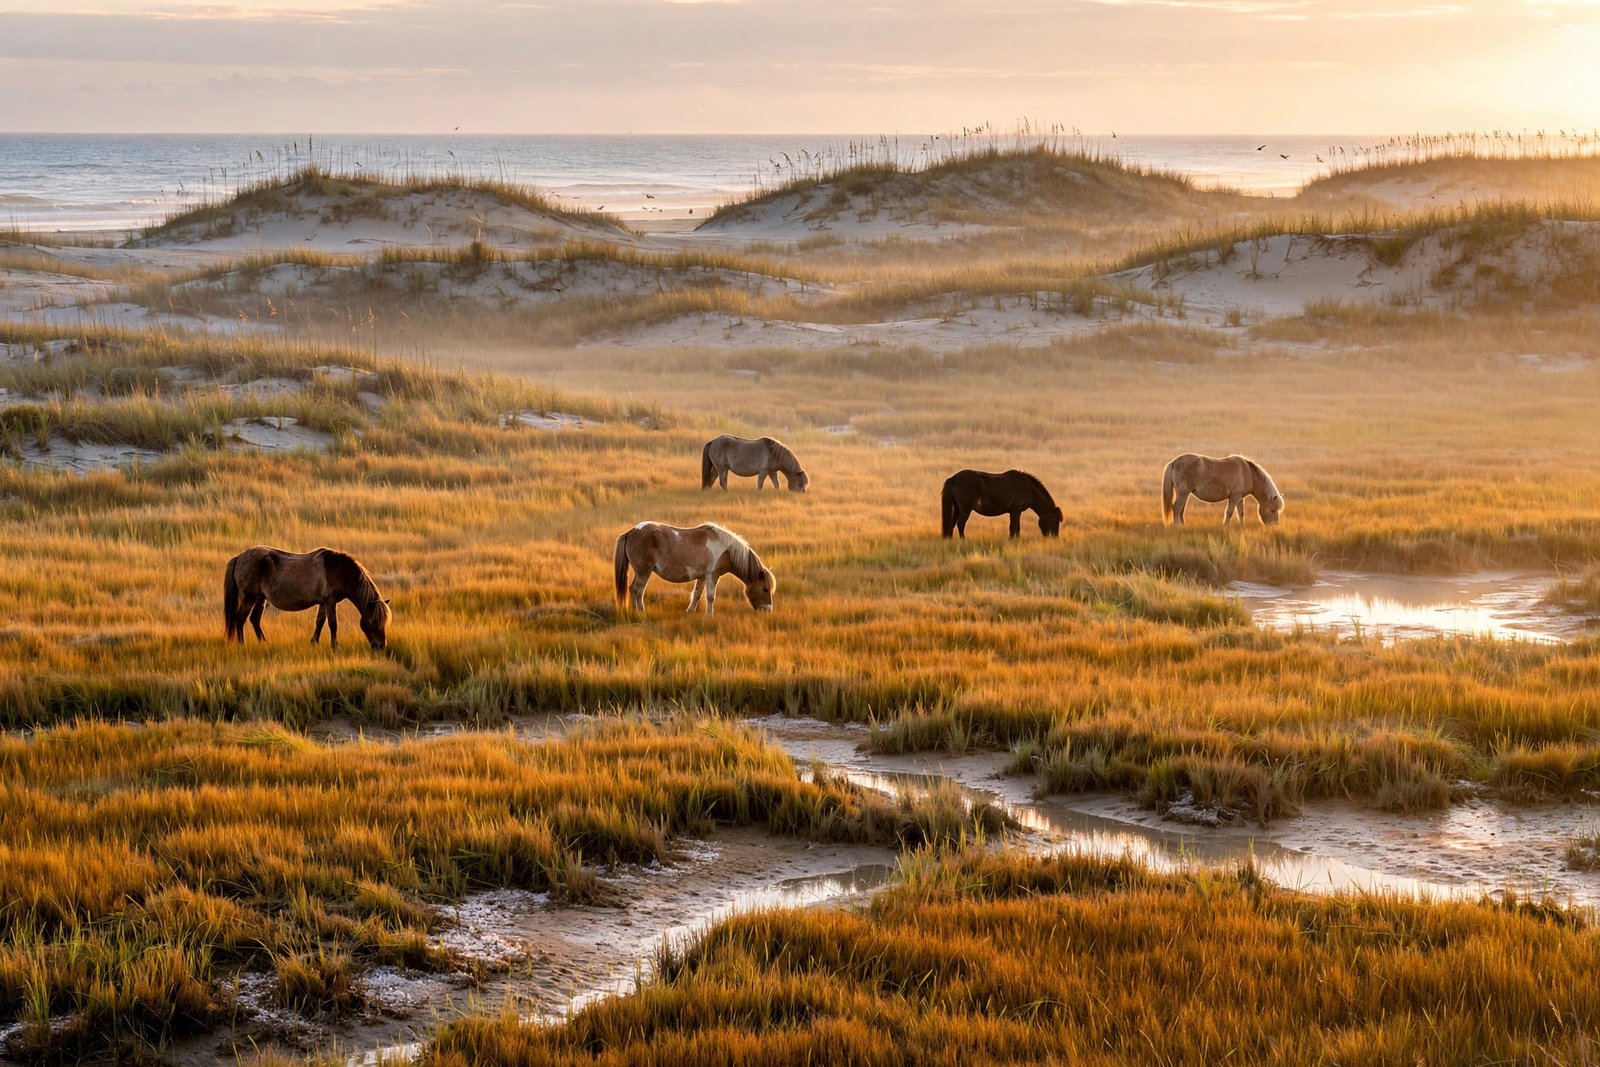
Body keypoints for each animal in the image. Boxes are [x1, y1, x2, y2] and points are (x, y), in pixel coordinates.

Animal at [224, 546, 392, 649]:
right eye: (374, 621)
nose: (381, 646)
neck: (339, 570)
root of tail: (239, 557)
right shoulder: (330, 601)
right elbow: (332, 624)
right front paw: (335, 647)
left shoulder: (323, 602)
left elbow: (320, 622)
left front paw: (314, 642)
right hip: (249, 598)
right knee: (240, 619)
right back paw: (242, 644)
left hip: (260, 598)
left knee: (255, 619)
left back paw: (263, 642)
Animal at [614, 522, 775, 615]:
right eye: (765, 589)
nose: (768, 611)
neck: (725, 549)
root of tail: (631, 532)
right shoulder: (712, 576)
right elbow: (710, 597)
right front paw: (709, 616)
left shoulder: (702, 577)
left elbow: (697, 595)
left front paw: (690, 612)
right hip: (643, 572)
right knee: (637, 590)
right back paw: (639, 613)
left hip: (641, 572)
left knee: (634, 590)